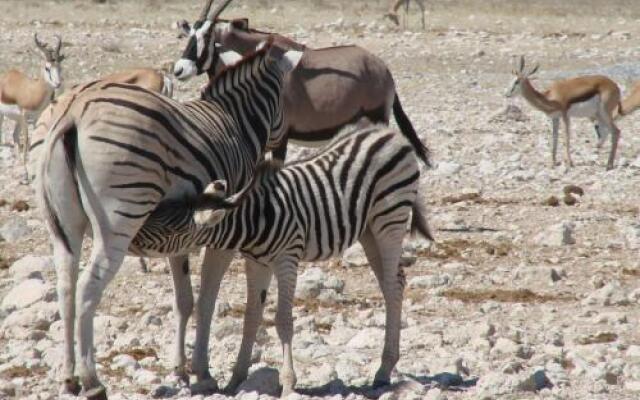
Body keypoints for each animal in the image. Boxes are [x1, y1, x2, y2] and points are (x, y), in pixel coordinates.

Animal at [0, 32, 64, 167]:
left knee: (14, 135)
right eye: (47, 68)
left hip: (17, 119)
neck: (34, 92)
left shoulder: (36, 117)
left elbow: (35, 137)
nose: (58, 84)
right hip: (4, 116)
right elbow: (27, 138)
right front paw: (25, 163)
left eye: (59, 67)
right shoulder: (25, 116)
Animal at [37, 39, 302, 398]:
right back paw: (92, 380)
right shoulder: (224, 234)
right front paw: (203, 372)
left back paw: (69, 378)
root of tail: (74, 114)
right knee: (87, 290)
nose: (282, 153)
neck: (235, 122)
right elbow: (206, 301)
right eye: (285, 101)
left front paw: (180, 371)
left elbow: (184, 302)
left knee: (65, 290)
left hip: (63, 228)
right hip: (118, 221)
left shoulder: (181, 238)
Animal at [138, 121, 432, 394]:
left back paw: (383, 371)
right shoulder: (257, 263)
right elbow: (251, 317)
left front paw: (289, 382)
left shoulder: (287, 259)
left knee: (392, 285)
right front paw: (236, 379)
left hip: (389, 219)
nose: (133, 237)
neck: (253, 220)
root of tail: (388, 133)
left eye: (171, 229)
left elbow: (283, 320)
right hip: (368, 229)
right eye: (159, 213)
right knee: (393, 282)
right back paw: (386, 366)